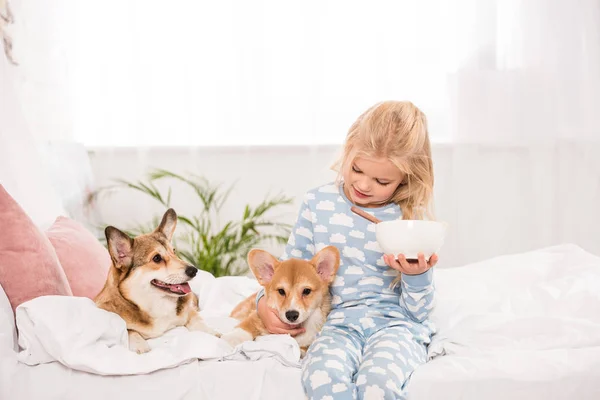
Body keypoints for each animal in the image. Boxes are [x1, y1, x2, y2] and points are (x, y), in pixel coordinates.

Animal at [96, 208, 220, 354]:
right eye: (156, 258)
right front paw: (140, 346)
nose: (194, 270)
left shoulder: (189, 312)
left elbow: (198, 320)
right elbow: (130, 330)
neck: (157, 302)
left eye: (174, 251)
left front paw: (212, 333)